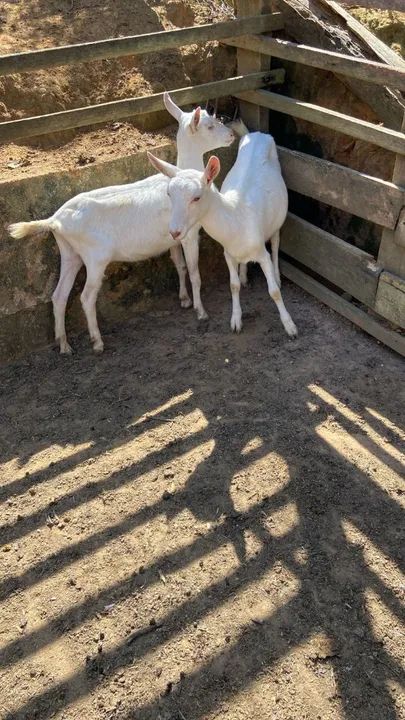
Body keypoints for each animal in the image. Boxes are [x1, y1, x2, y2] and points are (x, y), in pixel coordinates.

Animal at [8, 93, 235, 354]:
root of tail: (55, 221)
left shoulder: (172, 238)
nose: (231, 135)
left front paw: (184, 300)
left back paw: (64, 344)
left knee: (59, 296)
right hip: (95, 258)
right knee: (86, 297)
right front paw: (200, 311)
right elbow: (195, 271)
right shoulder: (188, 234)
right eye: (209, 126)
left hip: (69, 252)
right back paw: (97, 342)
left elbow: (179, 265)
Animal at [147, 132, 297, 338]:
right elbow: (233, 286)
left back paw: (277, 275)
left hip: (277, 219)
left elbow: (273, 291)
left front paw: (290, 326)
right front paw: (235, 321)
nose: (174, 231)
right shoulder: (227, 253)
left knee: (275, 243)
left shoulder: (261, 251)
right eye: (169, 194)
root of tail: (259, 134)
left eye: (197, 197)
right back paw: (244, 276)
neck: (236, 220)